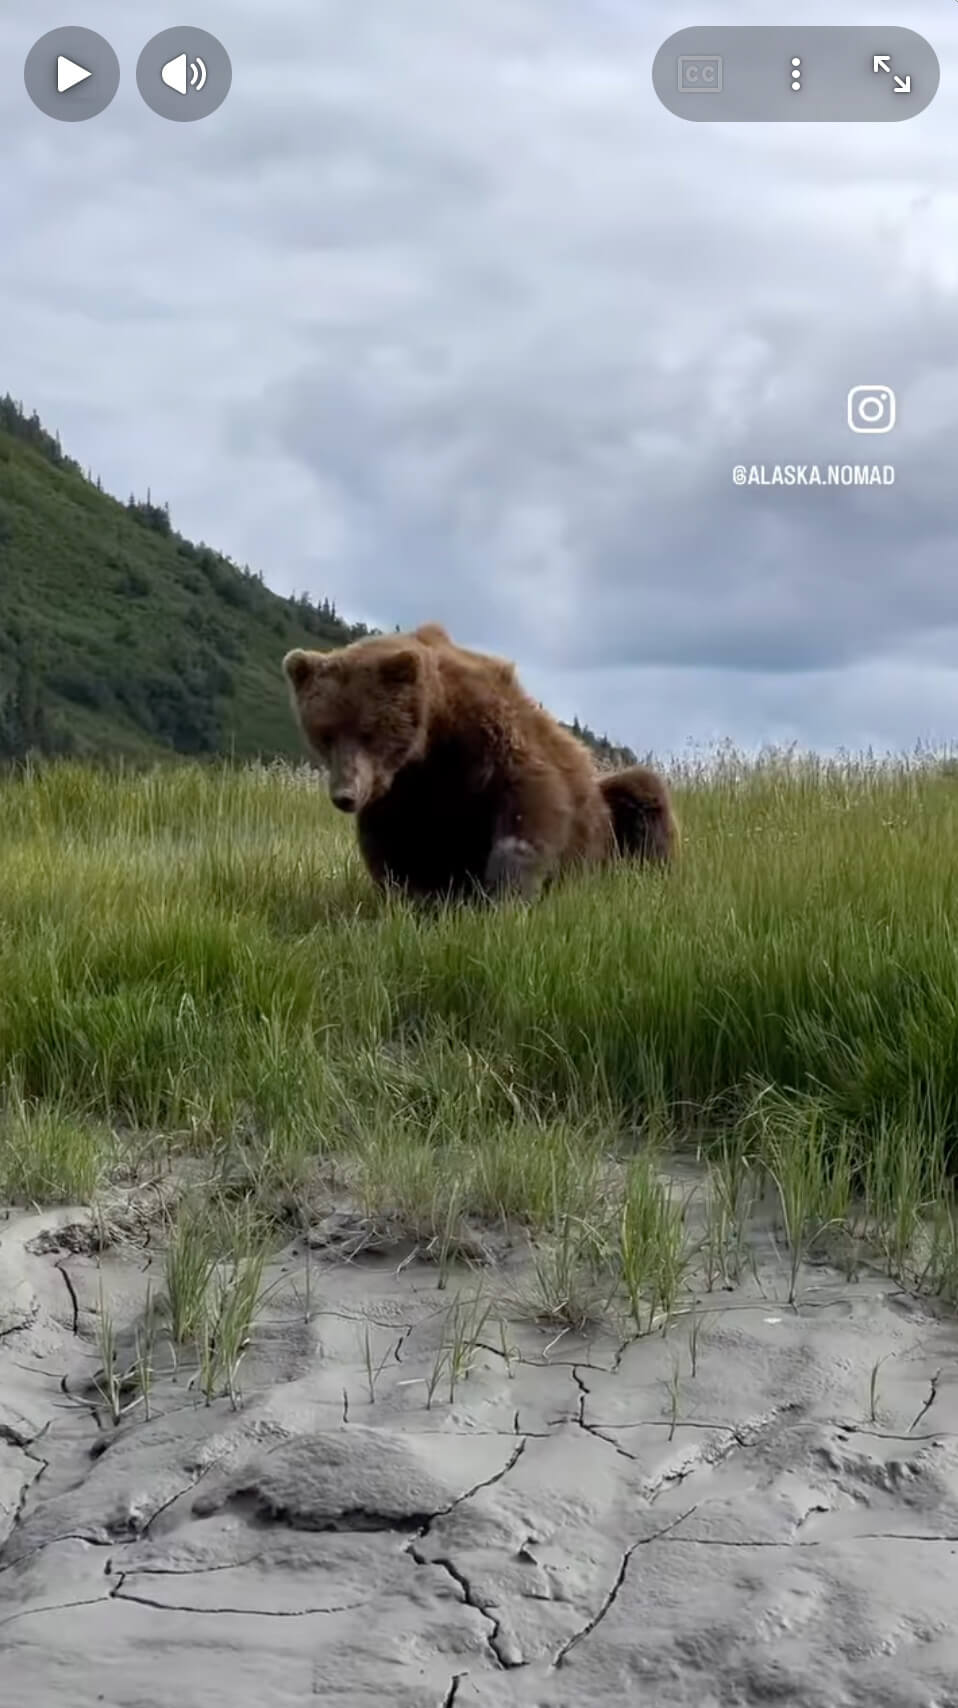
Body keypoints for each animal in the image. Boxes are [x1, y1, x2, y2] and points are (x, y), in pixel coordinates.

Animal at [282, 623, 678, 902]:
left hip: (608, 824)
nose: (345, 795)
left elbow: (530, 805)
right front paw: (414, 900)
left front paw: (505, 895)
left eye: (368, 731)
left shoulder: (487, 739)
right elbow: (394, 846)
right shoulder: (400, 791)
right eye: (325, 733)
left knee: (642, 792)